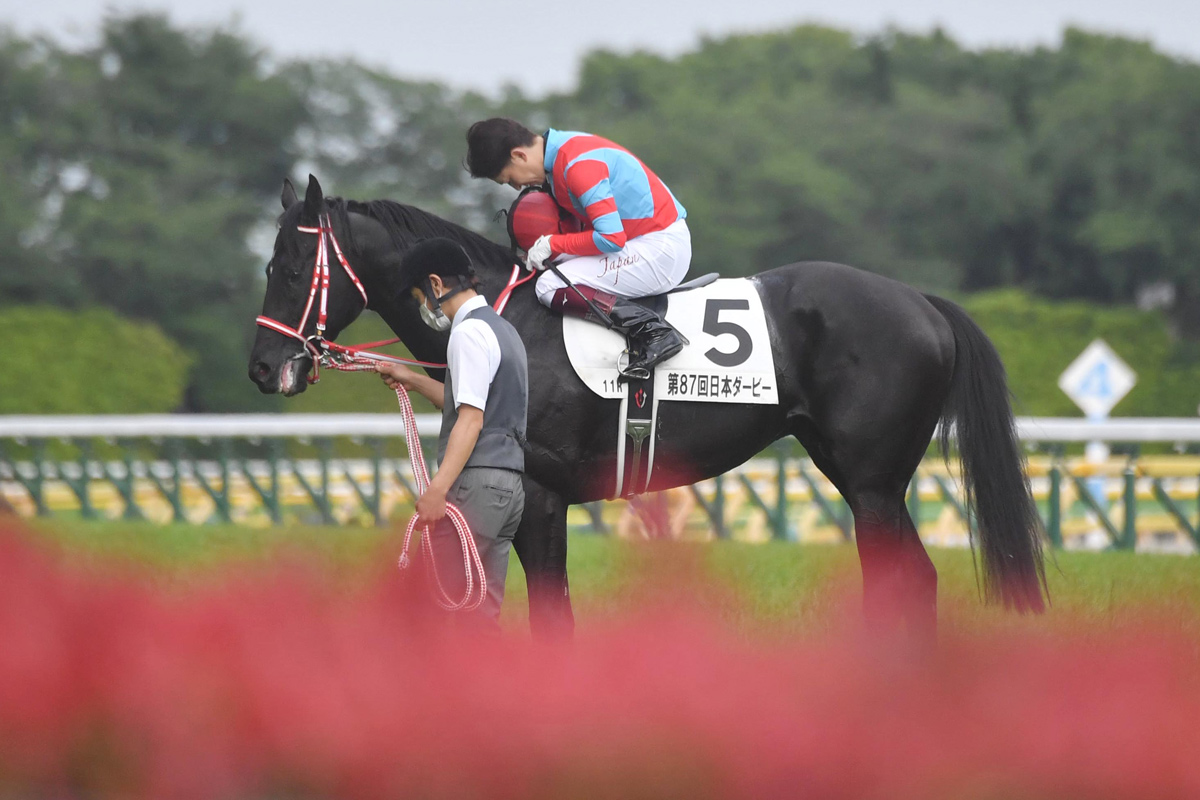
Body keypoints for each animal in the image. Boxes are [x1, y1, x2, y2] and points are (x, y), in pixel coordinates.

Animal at [249, 175, 1047, 642]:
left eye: (289, 267)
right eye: (269, 264)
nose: (263, 367)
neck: (509, 316)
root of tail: (923, 303)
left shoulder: (541, 497)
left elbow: (551, 614)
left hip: (872, 483)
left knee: (895, 579)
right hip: (862, 478)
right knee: (917, 579)